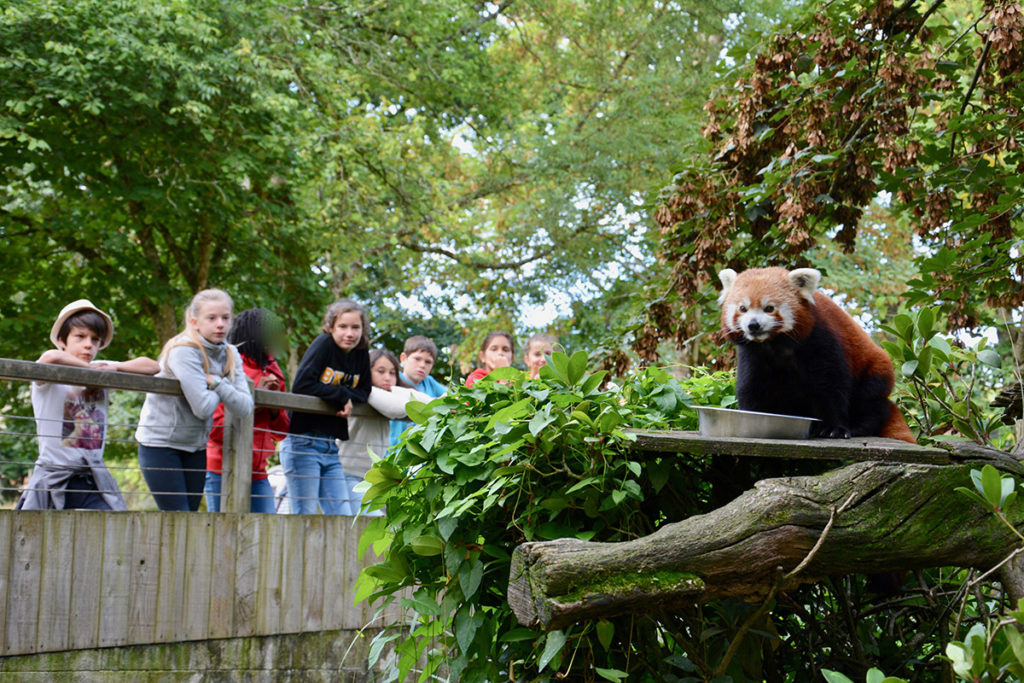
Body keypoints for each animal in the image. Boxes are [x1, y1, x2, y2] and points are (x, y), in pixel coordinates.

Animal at [716, 266, 917, 444]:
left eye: (769, 308)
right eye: (743, 308)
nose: (753, 325)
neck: (775, 343)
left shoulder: (820, 338)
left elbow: (831, 385)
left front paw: (835, 428)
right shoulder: (753, 353)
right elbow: (751, 386)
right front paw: (751, 415)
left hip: (876, 370)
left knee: (870, 400)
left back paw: (859, 426)